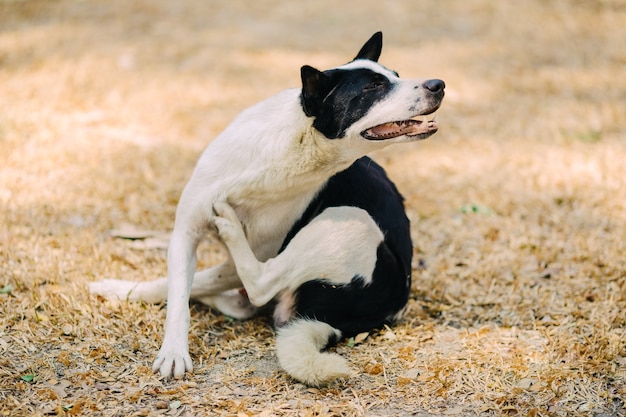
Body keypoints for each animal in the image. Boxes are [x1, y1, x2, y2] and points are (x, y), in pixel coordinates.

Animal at [91, 32, 444, 386]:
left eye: (395, 76)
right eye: (374, 87)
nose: (439, 84)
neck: (295, 146)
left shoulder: (257, 251)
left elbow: (203, 282)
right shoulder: (185, 232)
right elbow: (178, 293)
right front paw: (171, 348)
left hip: (349, 219)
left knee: (259, 285)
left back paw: (229, 229)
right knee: (236, 296)